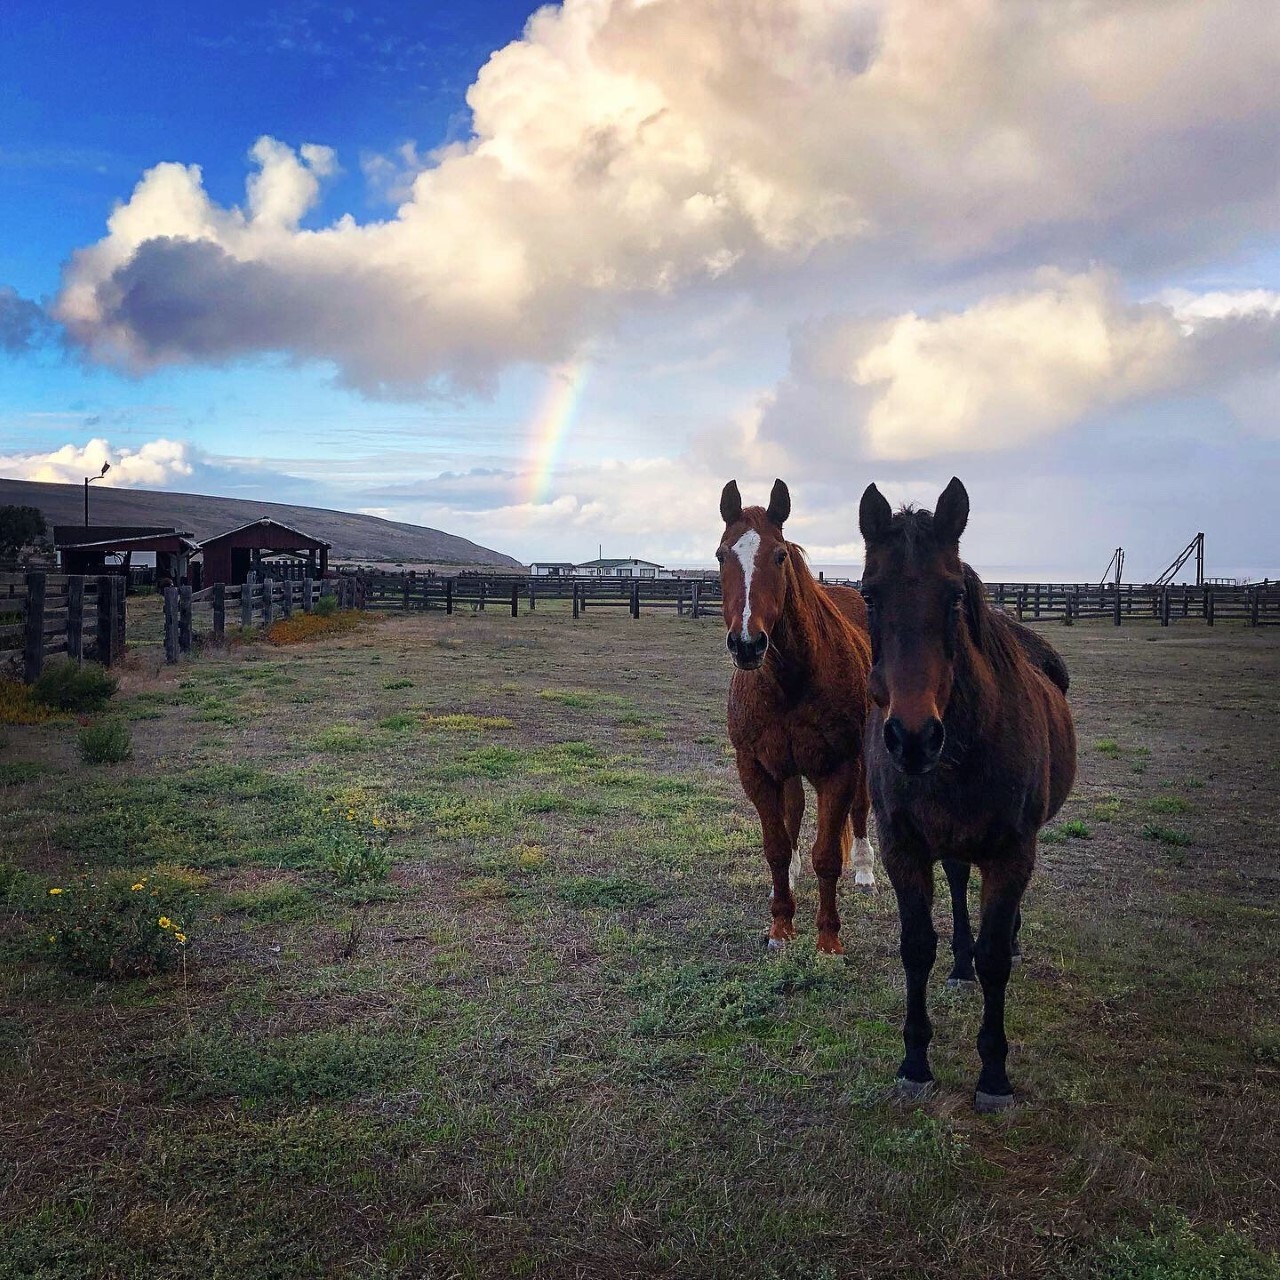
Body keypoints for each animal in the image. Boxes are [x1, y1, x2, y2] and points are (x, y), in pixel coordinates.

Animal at [718, 478, 877, 955]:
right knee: (792, 814)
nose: (747, 643)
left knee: (861, 808)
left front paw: (827, 937)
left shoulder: (839, 768)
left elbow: (827, 853)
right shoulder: (756, 767)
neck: (791, 682)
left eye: (780, 555)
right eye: (721, 555)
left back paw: (865, 869)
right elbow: (775, 844)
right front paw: (780, 926)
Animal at [858, 477, 1076, 1112]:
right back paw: (959, 966)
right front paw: (914, 1063)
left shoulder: (1012, 852)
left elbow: (996, 955)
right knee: (957, 885)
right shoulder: (904, 847)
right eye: (868, 596)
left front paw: (995, 1075)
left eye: (954, 597)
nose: (912, 738)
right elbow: (916, 947)